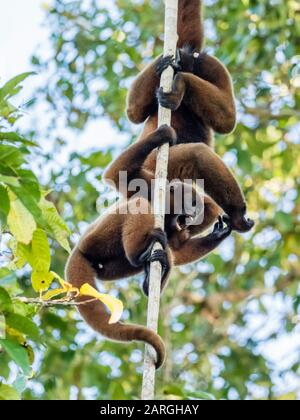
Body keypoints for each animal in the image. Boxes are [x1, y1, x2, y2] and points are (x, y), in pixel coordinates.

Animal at [104, 124, 254, 233]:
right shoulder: (148, 185)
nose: (191, 215)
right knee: (197, 153)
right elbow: (118, 174)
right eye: (191, 204)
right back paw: (237, 216)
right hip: (155, 160)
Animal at [125, 0, 236, 148]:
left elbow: (228, 119)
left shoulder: (210, 64)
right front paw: (161, 63)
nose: (180, 64)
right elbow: (134, 111)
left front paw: (180, 84)